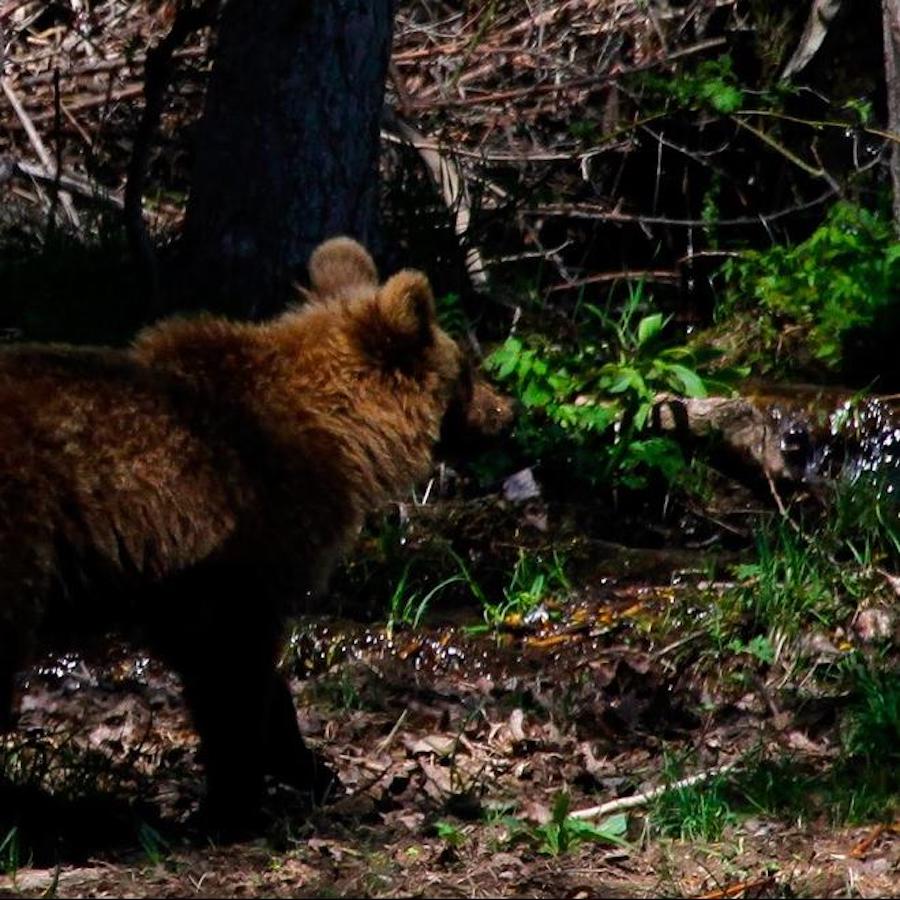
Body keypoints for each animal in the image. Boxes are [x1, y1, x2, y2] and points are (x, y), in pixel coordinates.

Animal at [0, 239, 510, 828]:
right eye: (467, 371)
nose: (508, 410)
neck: (340, 435)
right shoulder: (248, 542)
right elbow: (235, 676)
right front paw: (234, 800)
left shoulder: (182, 582)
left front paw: (308, 770)